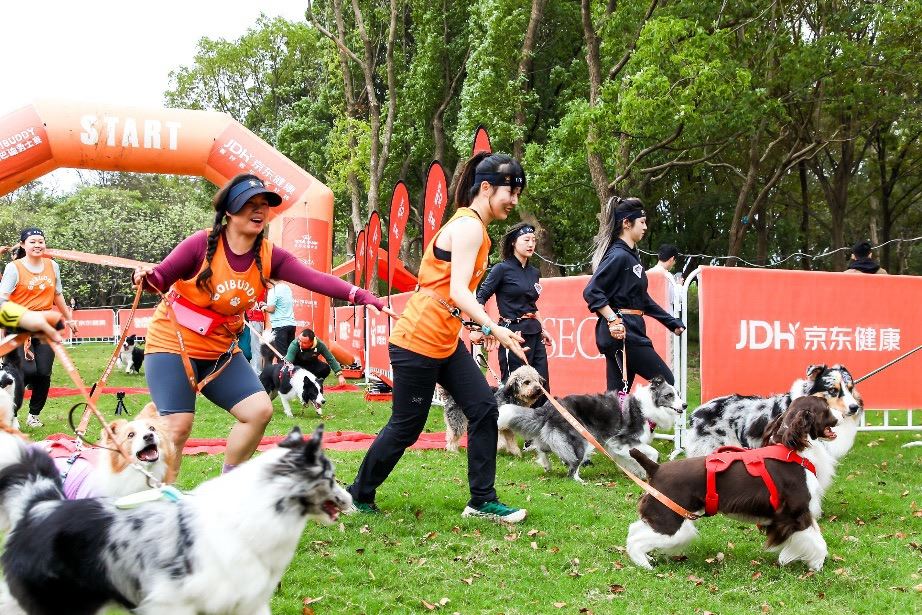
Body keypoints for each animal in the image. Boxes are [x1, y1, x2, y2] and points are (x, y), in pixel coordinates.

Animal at [496, 378, 684, 484]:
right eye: (669, 395)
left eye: (679, 394)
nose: (685, 405)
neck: (647, 406)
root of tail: (549, 407)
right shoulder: (623, 440)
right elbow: (653, 453)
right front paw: (646, 472)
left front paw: (637, 471)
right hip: (581, 440)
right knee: (572, 466)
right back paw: (579, 480)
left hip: (555, 436)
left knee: (542, 448)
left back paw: (546, 464)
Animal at [628, 398, 836, 576]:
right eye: (826, 407)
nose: (841, 415)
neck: (793, 451)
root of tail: (656, 468)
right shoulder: (796, 514)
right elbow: (819, 543)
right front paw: (816, 566)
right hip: (672, 522)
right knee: (636, 540)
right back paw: (645, 565)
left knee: (635, 528)